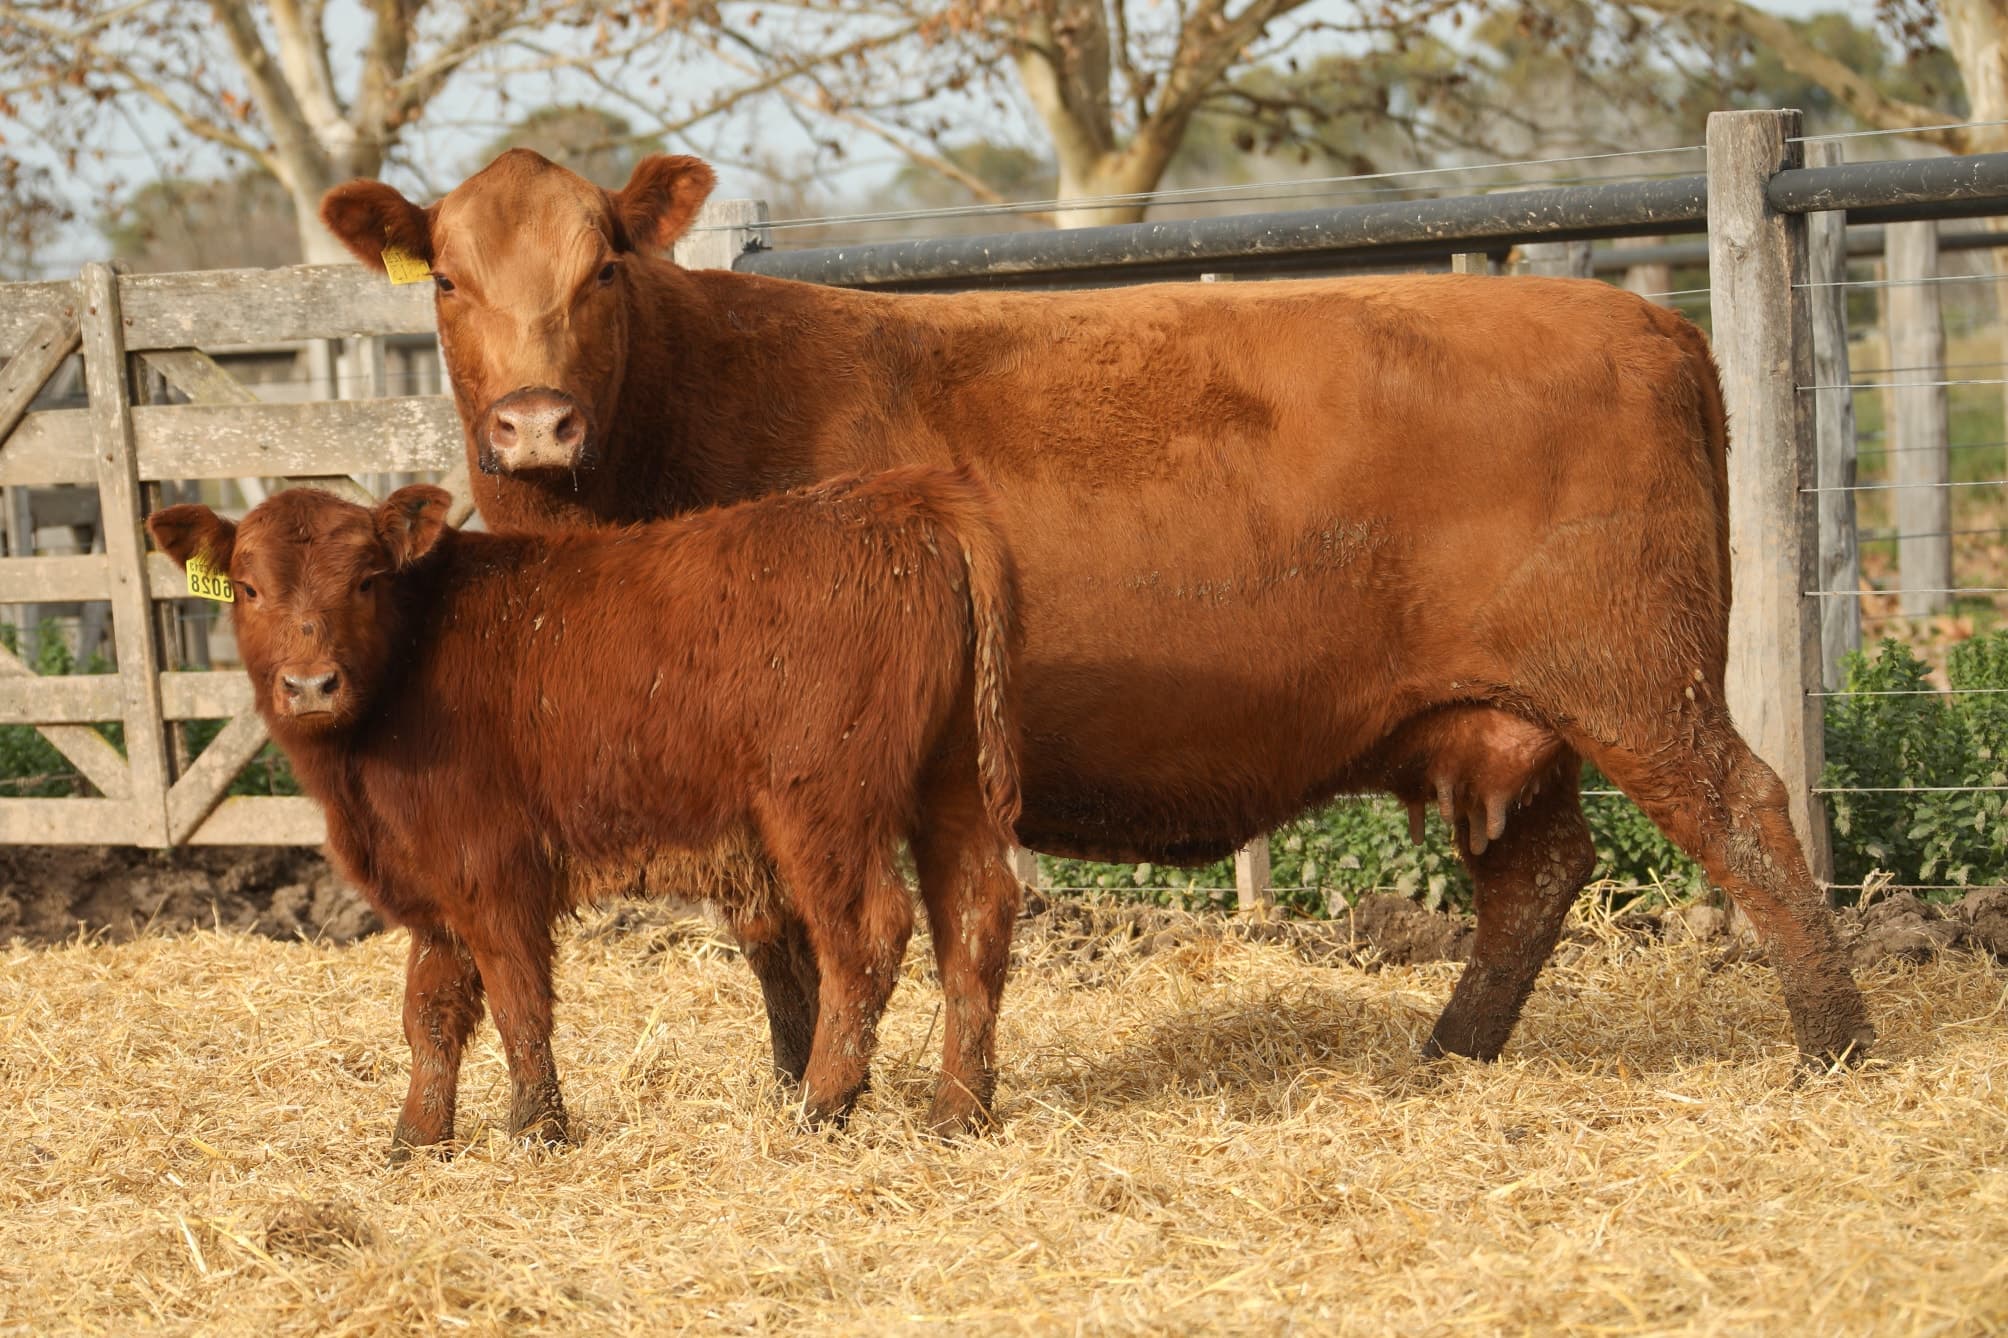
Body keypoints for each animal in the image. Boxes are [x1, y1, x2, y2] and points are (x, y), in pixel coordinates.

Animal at [146, 467, 1024, 1159]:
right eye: (249, 588)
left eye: (364, 580)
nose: (310, 685)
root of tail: (905, 496)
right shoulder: (432, 891)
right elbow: (429, 1015)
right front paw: (417, 1139)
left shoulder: (490, 871)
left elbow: (516, 1001)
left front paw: (537, 1129)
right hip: (952, 787)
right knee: (976, 917)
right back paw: (959, 1111)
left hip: (822, 805)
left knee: (867, 934)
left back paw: (823, 1103)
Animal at [319, 151, 1875, 1072]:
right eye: (446, 276)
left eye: (603, 268)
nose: (534, 422)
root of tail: (1651, 321)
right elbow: (776, 934)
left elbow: (803, 928)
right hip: (1501, 714)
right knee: (1541, 871)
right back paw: (1452, 1049)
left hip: (1634, 675)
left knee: (1749, 814)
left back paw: (1836, 1043)